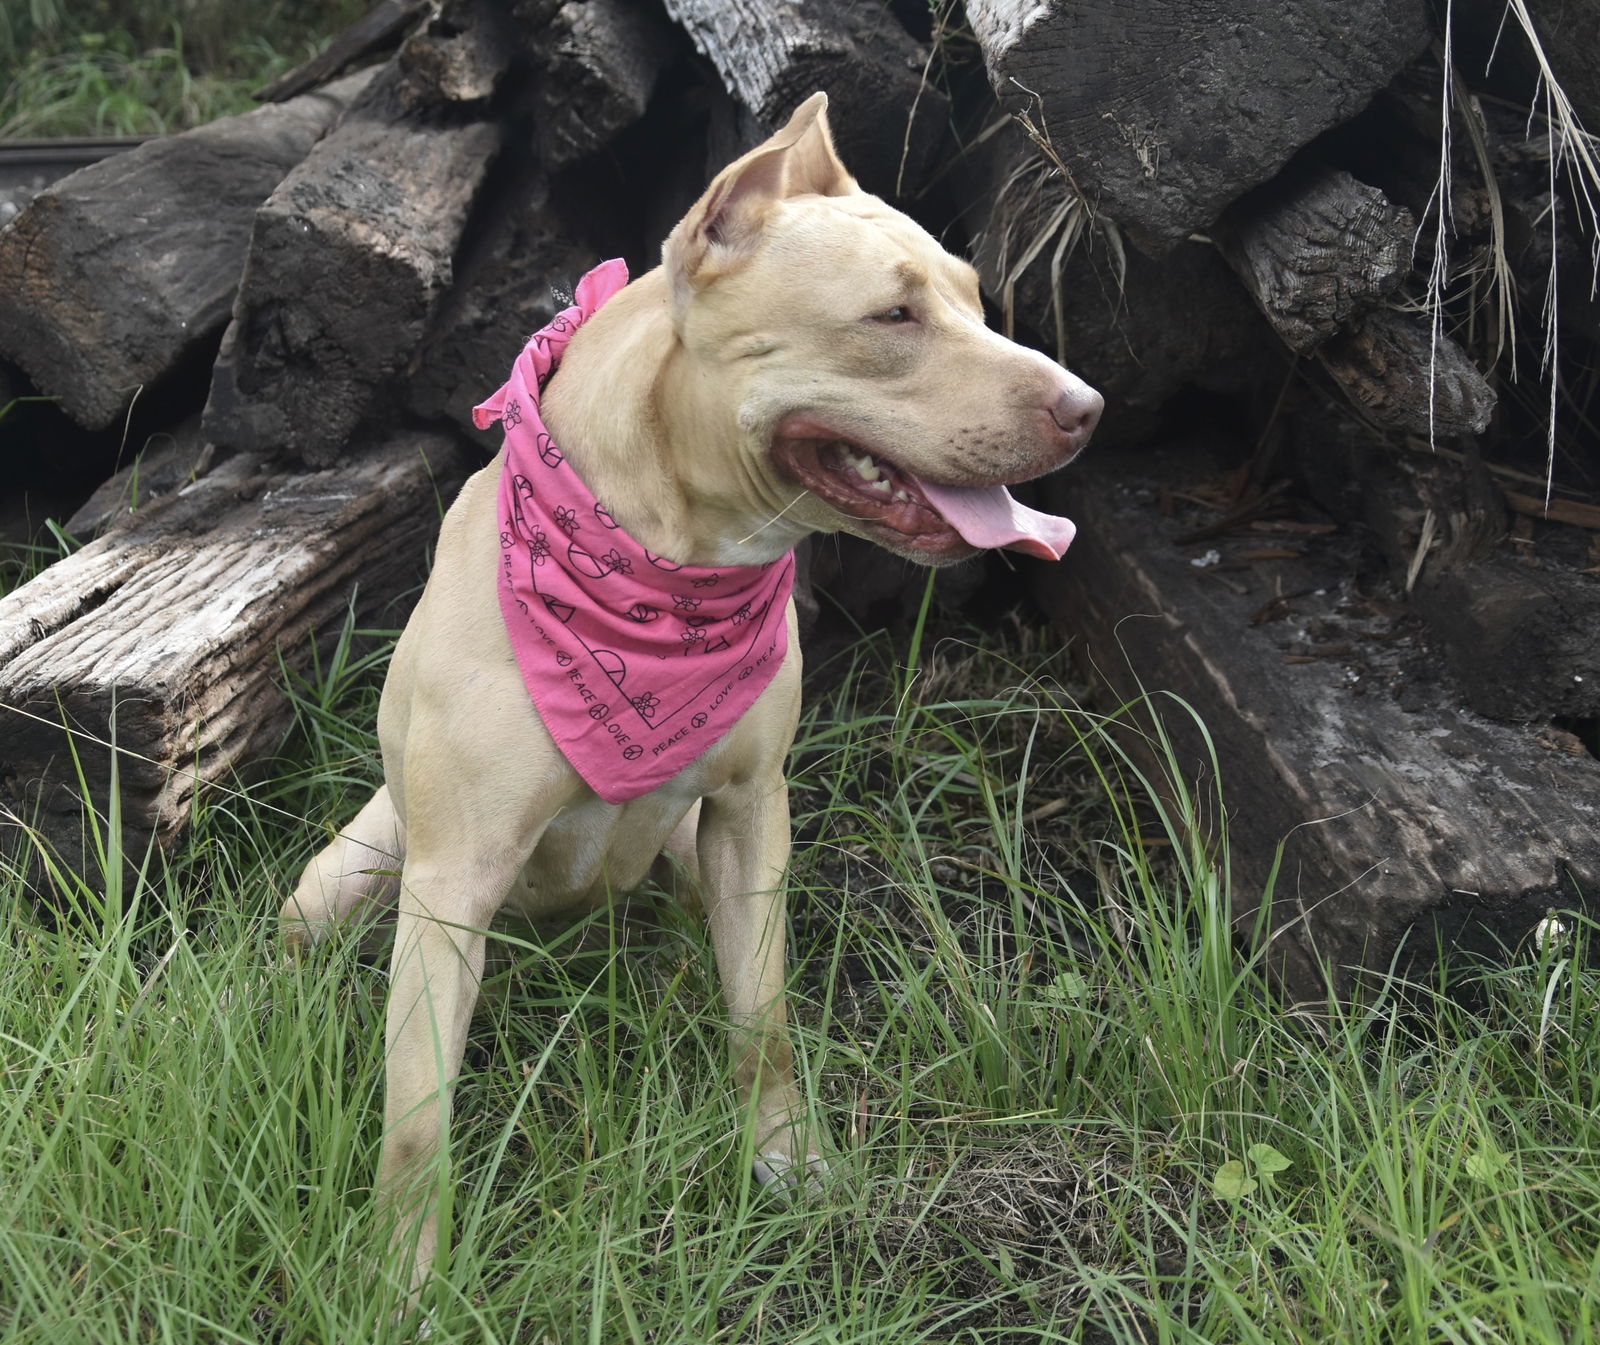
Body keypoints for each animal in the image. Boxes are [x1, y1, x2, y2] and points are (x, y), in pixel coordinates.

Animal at [284, 94, 1100, 1292]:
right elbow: (418, 1116)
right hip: (348, 875)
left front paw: (787, 1163)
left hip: (679, 856)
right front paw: (405, 1284)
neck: (666, 557)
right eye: (893, 315)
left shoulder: (753, 812)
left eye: (974, 297)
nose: (1088, 405)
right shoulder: (451, 879)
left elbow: (763, 1015)